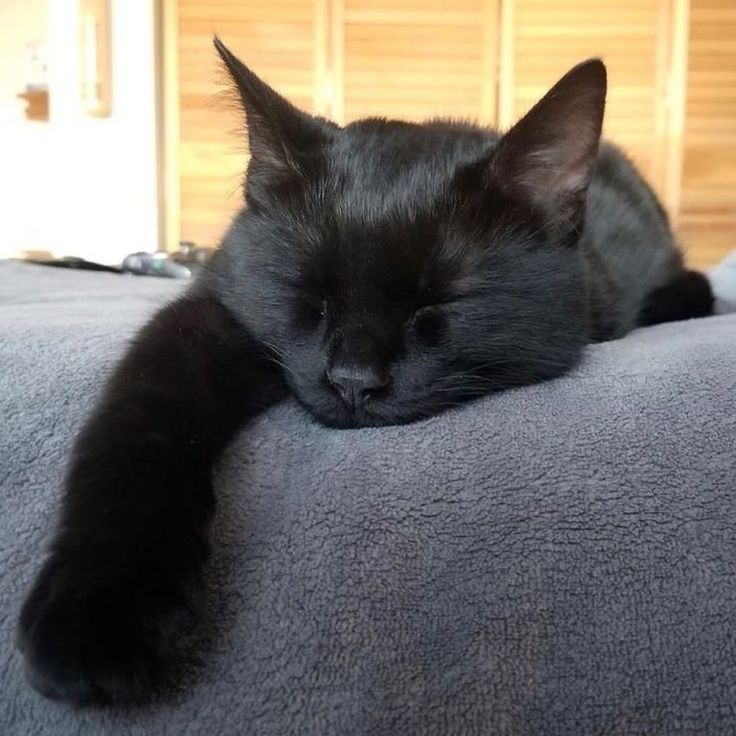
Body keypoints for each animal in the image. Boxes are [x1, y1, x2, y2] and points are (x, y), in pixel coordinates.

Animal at [17, 37, 712, 704]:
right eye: (309, 295)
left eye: (435, 305)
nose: (353, 380)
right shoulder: (211, 314)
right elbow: (139, 415)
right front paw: (98, 613)